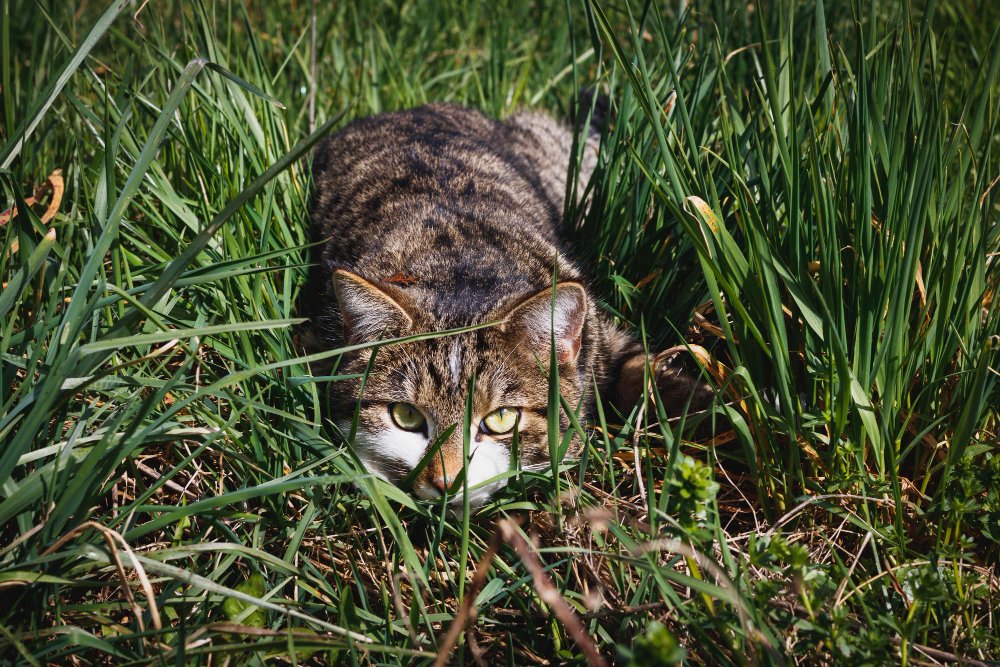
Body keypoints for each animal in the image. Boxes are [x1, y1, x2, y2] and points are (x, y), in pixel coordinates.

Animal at [304, 100, 712, 506]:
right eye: (406, 415)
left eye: (501, 418)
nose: (447, 482)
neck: (456, 265)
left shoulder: (598, 337)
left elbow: (645, 375)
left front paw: (710, 406)